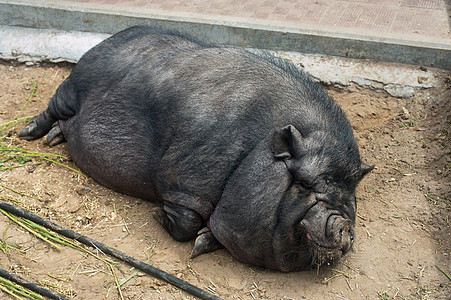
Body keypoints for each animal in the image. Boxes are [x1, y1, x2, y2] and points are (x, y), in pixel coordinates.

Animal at [20, 25, 374, 272]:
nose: (344, 225)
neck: (254, 148)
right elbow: (184, 220)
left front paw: (203, 241)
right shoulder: (185, 178)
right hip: (72, 87)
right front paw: (158, 214)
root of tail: (111, 37)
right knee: (51, 109)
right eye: (304, 184)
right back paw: (30, 135)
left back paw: (55, 137)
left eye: (350, 197)